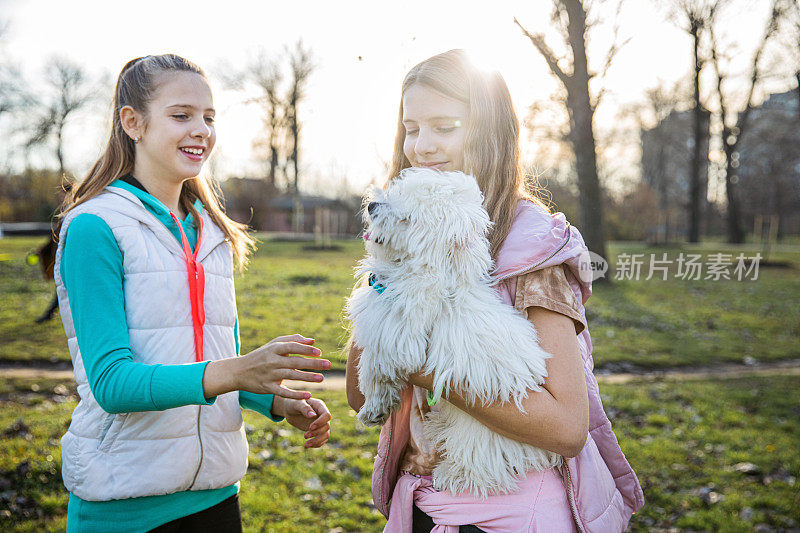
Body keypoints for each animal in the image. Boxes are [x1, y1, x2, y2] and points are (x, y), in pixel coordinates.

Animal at [346, 168, 564, 496]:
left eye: (408, 218)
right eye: (400, 192)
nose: (373, 205)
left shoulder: (396, 339)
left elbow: (374, 370)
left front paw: (373, 405)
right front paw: (377, 409)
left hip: (479, 434)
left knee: (477, 463)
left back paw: (452, 474)